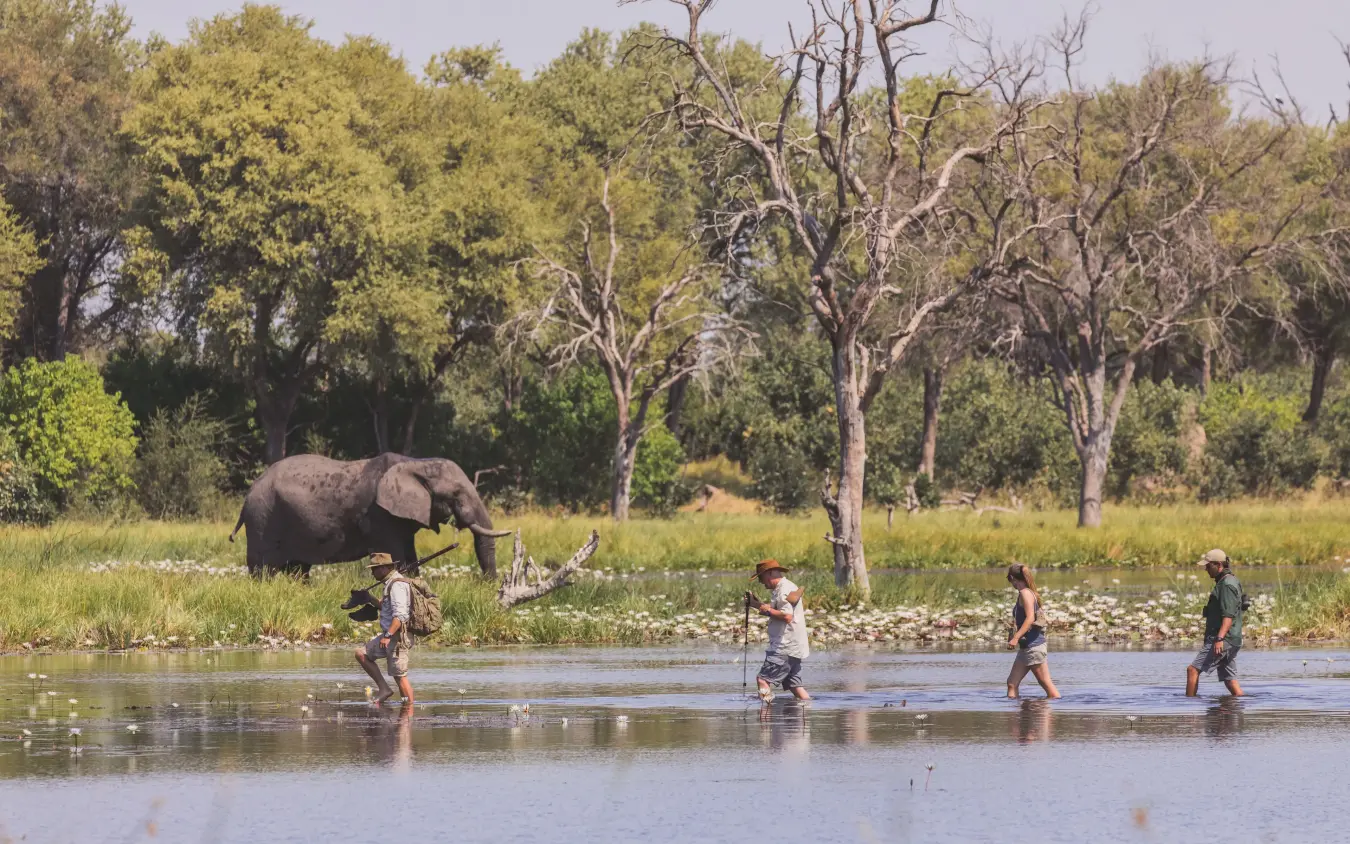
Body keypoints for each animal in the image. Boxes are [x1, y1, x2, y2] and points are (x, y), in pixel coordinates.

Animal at [229, 453, 508, 577]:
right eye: (456, 494)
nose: (487, 585)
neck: (416, 462)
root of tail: (249, 492)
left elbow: (410, 556)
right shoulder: (380, 516)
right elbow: (396, 555)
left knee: (297, 569)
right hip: (263, 518)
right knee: (263, 569)